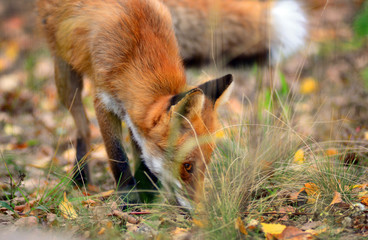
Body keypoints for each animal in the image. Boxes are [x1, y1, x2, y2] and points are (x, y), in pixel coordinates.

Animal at [37, 0, 233, 206]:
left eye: (206, 164)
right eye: (188, 166)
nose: (200, 210)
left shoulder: (133, 112)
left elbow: (141, 157)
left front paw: (147, 193)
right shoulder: (103, 101)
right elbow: (118, 156)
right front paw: (129, 198)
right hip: (65, 75)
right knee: (83, 127)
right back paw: (80, 176)